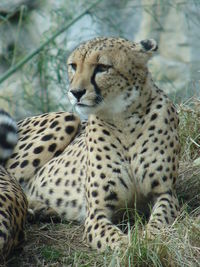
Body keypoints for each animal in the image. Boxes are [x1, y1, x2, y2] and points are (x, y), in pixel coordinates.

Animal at [5, 36, 180, 252]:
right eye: (73, 66)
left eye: (102, 67)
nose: (76, 92)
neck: (123, 119)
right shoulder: (96, 212)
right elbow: (113, 237)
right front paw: (129, 246)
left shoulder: (166, 193)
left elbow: (160, 221)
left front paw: (149, 239)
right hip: (67, 118)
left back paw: (41, 209)